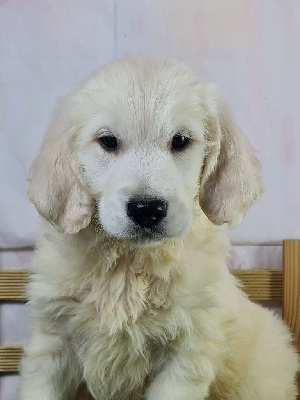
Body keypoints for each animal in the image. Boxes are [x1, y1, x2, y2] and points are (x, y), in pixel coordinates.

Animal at [18, 56, 298, 400]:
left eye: (180, 141)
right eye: (107, 141)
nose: (147, 209)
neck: (127, 265)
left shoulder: (186, 350)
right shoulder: (52, 342)